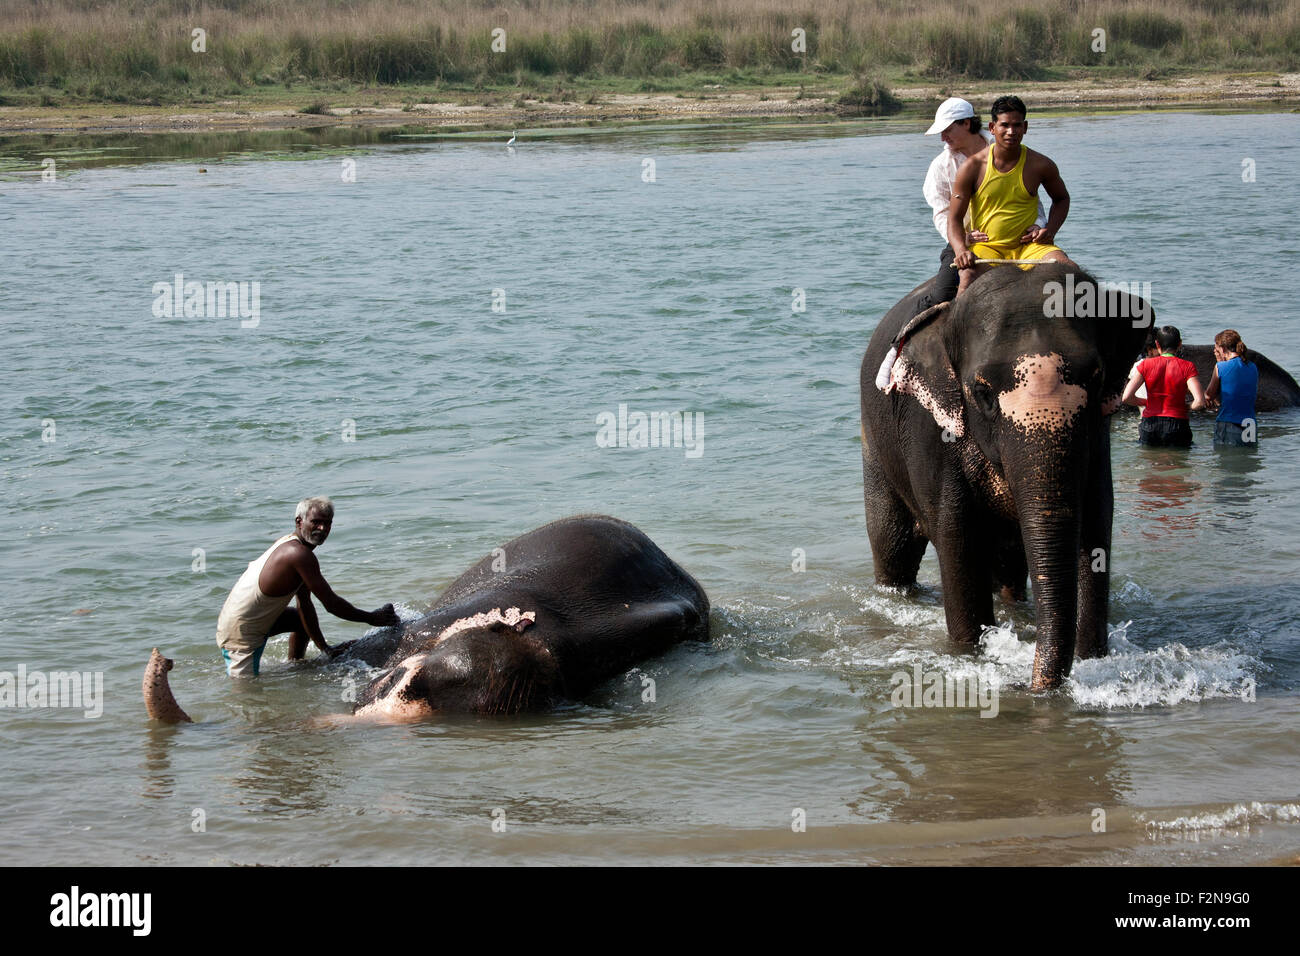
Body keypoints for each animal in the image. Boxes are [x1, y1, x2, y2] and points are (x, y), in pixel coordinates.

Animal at [863, 265, 1149, 691]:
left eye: (1097, 378)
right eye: (981, 393)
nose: (1032, 687)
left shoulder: (1098, 443)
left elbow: (1096, 529)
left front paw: (1092, 659)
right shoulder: (929, 432)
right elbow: (958, 542)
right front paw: (971, 654)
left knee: (1010, 563)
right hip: (875, 441)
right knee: (892, 545)